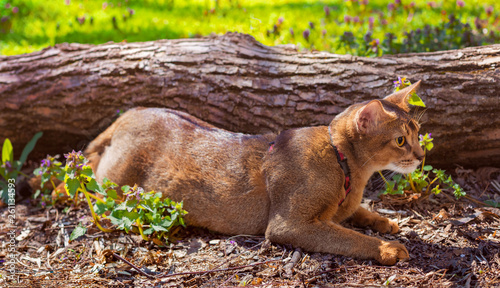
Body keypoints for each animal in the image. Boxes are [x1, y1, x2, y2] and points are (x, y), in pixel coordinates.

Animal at [85, 80, 422, 264]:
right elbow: (350, 237)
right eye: (400, 140)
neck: (343, 163)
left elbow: (358, 213)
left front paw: (384, 222)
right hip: (115, 187)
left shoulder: (343, 206)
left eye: (418, 132)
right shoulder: (289, 225)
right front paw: (387, 248)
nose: (421, 155)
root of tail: (130, 114)